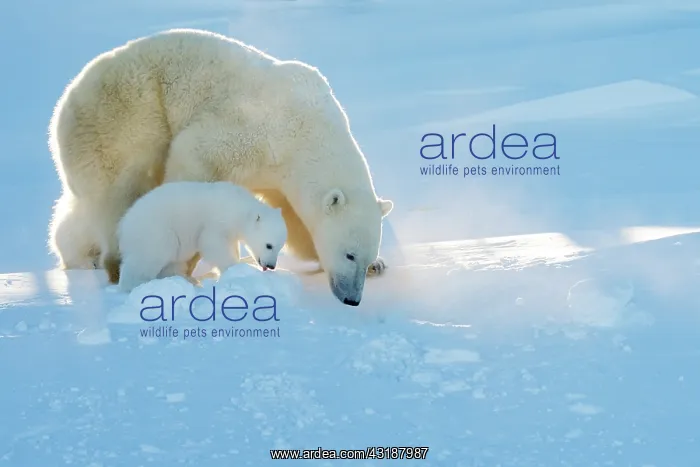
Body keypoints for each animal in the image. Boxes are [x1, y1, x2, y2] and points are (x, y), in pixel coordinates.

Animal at [117, 181, 288, 293]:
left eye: (280, 247)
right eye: (269, 245)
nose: (271, 266)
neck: (240, 209)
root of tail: (123, 225)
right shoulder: (218, 221)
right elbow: (211, 243)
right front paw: (235, 268)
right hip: (155, 231)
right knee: (150, 257)